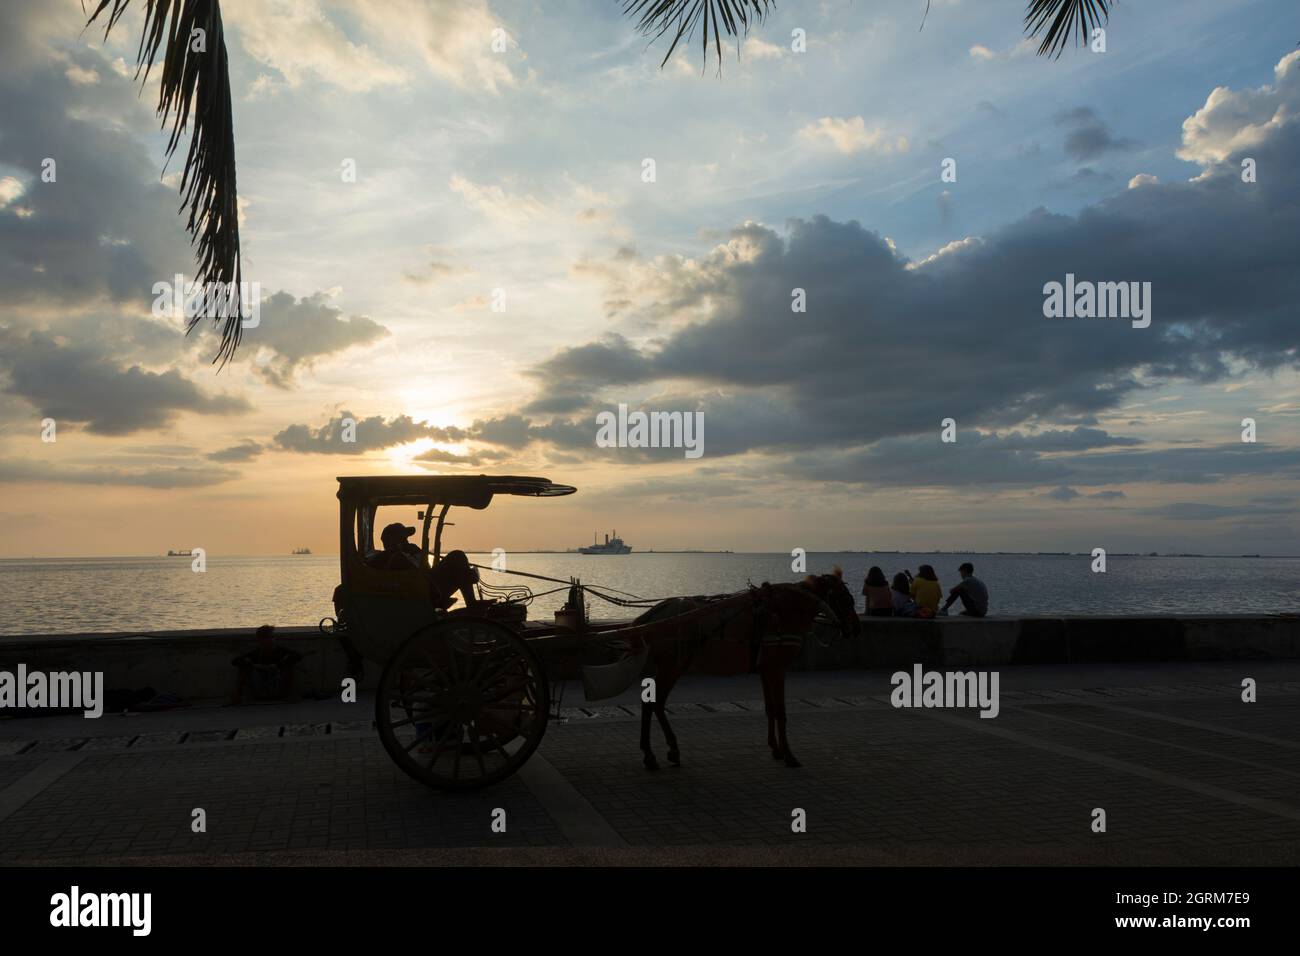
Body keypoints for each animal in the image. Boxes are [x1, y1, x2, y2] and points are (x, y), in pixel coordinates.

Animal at [629, 572, 863, 775]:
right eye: (846, 599)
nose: (855, 628)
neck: (784, 610)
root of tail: (653, 616)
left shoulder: (765, 670)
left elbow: (770, 709)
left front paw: (776, 749)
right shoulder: (777, 668)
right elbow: (781, 712)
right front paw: (789, 755)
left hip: (673, 666)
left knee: (653, 702)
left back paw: (663, 752)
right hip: (672, 666)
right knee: (654, 702)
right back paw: (654, 754)